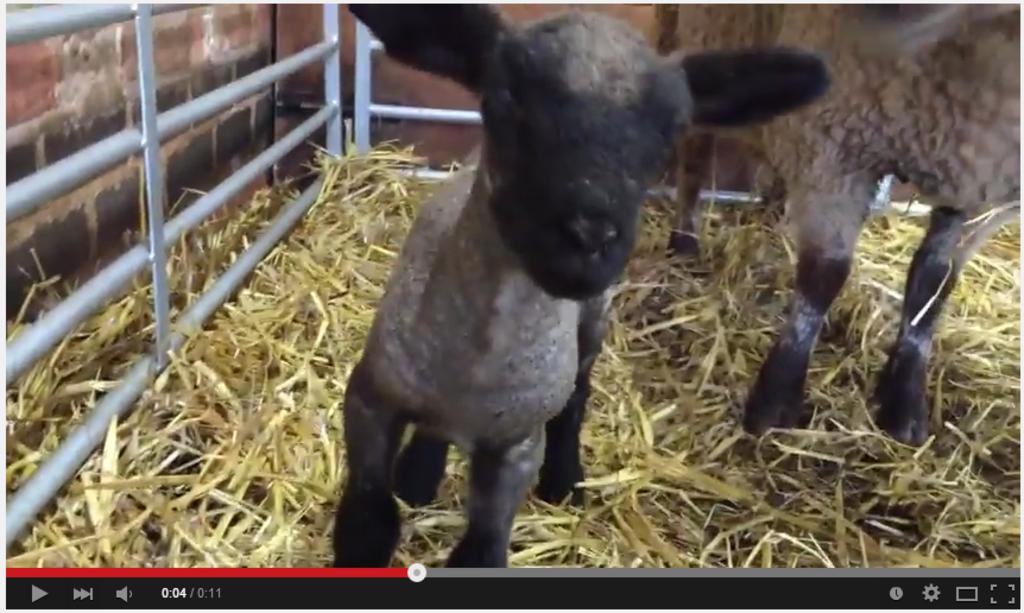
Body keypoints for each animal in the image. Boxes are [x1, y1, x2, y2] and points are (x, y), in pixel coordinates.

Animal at [333, 5, 831, 568]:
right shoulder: (370, 398)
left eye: (672, 130)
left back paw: (564, 479)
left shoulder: (517, 447)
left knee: (577, 396)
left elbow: (482, 551)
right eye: (505, 99)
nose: (589, 236)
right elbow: (367, 524)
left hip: (593, 320)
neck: (478, 362)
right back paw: (419, 475)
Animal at [653, 4, 1020, 446]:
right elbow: (824, 276)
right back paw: (685, 241)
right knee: (694, 151)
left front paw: (904, 402)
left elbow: (934, 282)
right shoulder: (833, 141)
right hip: (704, 31)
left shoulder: (977, 177)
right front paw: (776, 401)